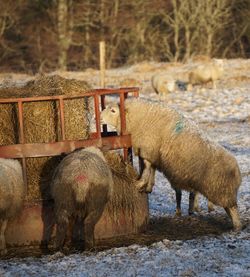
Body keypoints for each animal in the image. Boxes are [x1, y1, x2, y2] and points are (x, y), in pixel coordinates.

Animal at [101, 98, 242, 230]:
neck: (139, 118)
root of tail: (237, 172)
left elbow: (147, 167)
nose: (99, 117)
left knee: (233, 208)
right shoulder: (153, 153)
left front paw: (139, 183)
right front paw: (148, 186)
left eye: (113, 110)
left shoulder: (148, 148)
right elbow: (151, 169)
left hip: (222, 190)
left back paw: (237, 226)